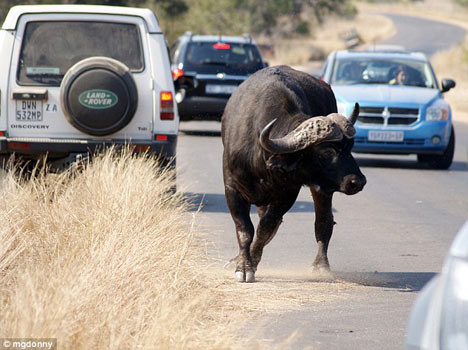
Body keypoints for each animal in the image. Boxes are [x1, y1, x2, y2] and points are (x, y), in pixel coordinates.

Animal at [221, 65, 368, 284]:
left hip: (322, 187)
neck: (262, 156)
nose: (357, 181)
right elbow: (245, 230)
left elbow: (265, 228)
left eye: (350, 147)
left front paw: (251, 263)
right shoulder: (232, 188)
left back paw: (321, 266)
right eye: (327, 152)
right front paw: (242, 266)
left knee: (323, 222)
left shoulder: (288, 194)